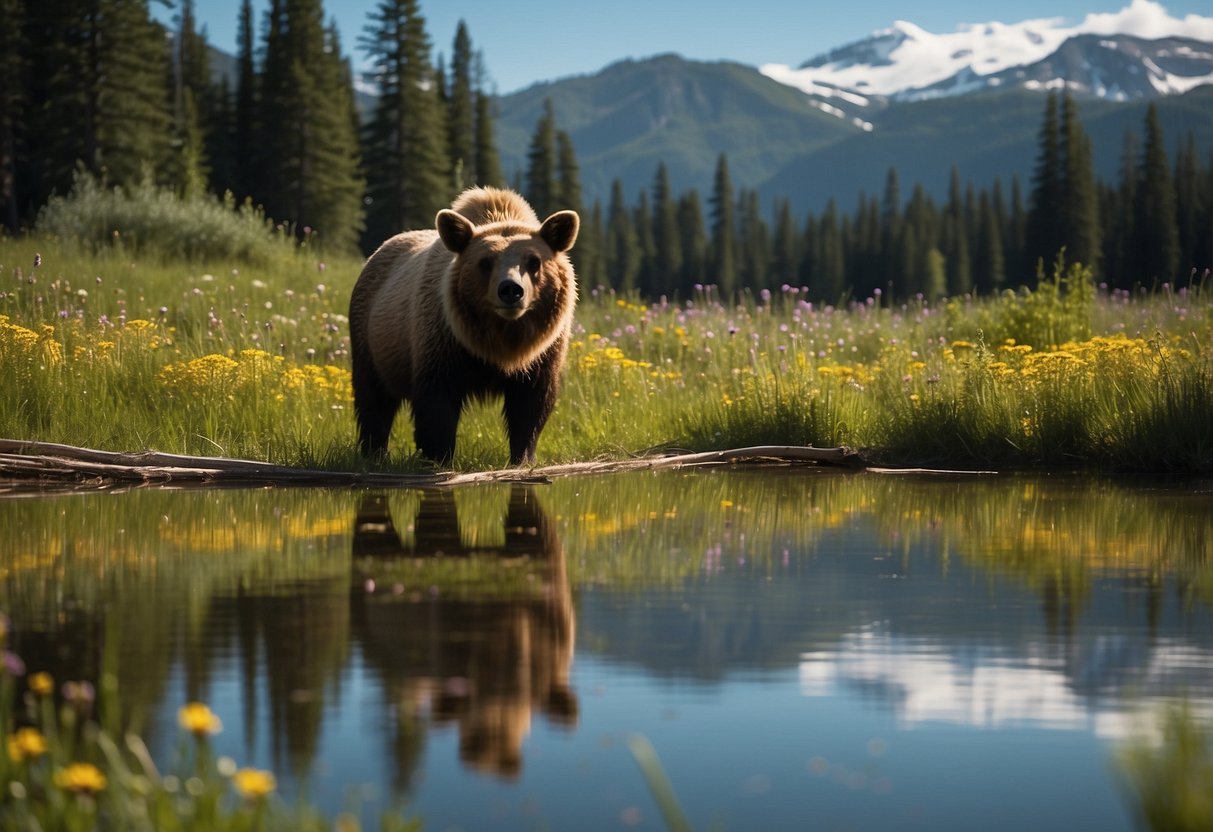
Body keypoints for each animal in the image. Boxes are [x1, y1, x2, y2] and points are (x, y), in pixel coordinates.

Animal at [349, 185, 579, 465]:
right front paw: (438, 457)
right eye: (485, 262)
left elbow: (530, 406)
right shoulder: (443, 343)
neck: (501, 340)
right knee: (373, 399)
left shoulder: (542, 354)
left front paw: (523, 457)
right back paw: (373, 452)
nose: (511, 290)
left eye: (534, 261)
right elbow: (437, 406)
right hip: (372, 339)